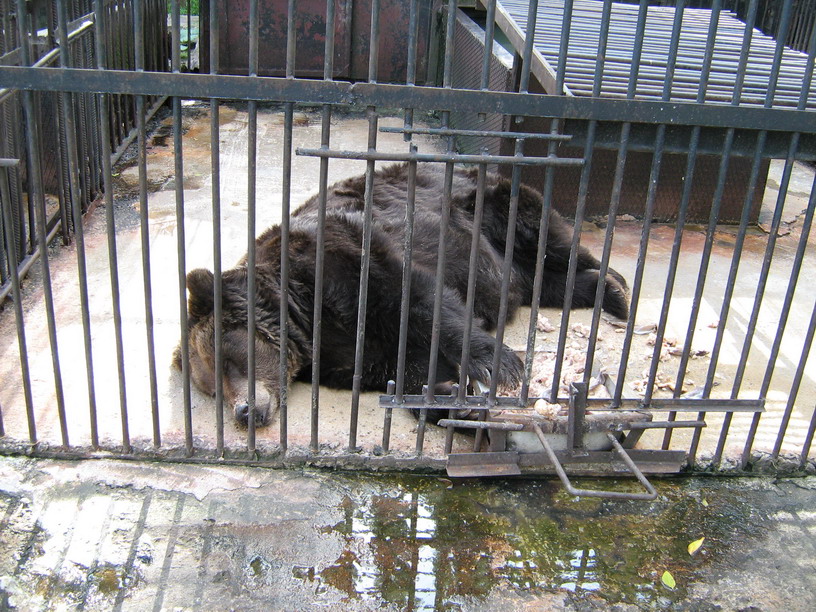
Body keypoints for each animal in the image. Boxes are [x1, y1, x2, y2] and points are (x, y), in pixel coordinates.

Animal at [174, 163, 628, 426]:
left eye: (229, 359)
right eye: (212, 389)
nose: (243, 411)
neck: (302, 311)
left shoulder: (344, 255)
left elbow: (422, 302)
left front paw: (497, 364)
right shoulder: (341, 352)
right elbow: (402, 364)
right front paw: (450, 398)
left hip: (489, 205)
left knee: (550, 241)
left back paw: (616, 286)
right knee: (540, 281)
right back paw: (602, 291)